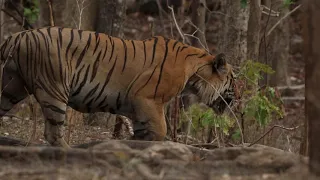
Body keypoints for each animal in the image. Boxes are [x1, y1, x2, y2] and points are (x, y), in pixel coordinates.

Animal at [0, 26, 235, 148]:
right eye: (233, 80)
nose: (238, 97)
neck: (194, 73)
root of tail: (17, 36)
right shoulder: (147, 99)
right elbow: (160, 129)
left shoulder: (137, 108)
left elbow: (143, 131)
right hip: (54, 90)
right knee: (53, 134)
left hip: (10, 87)